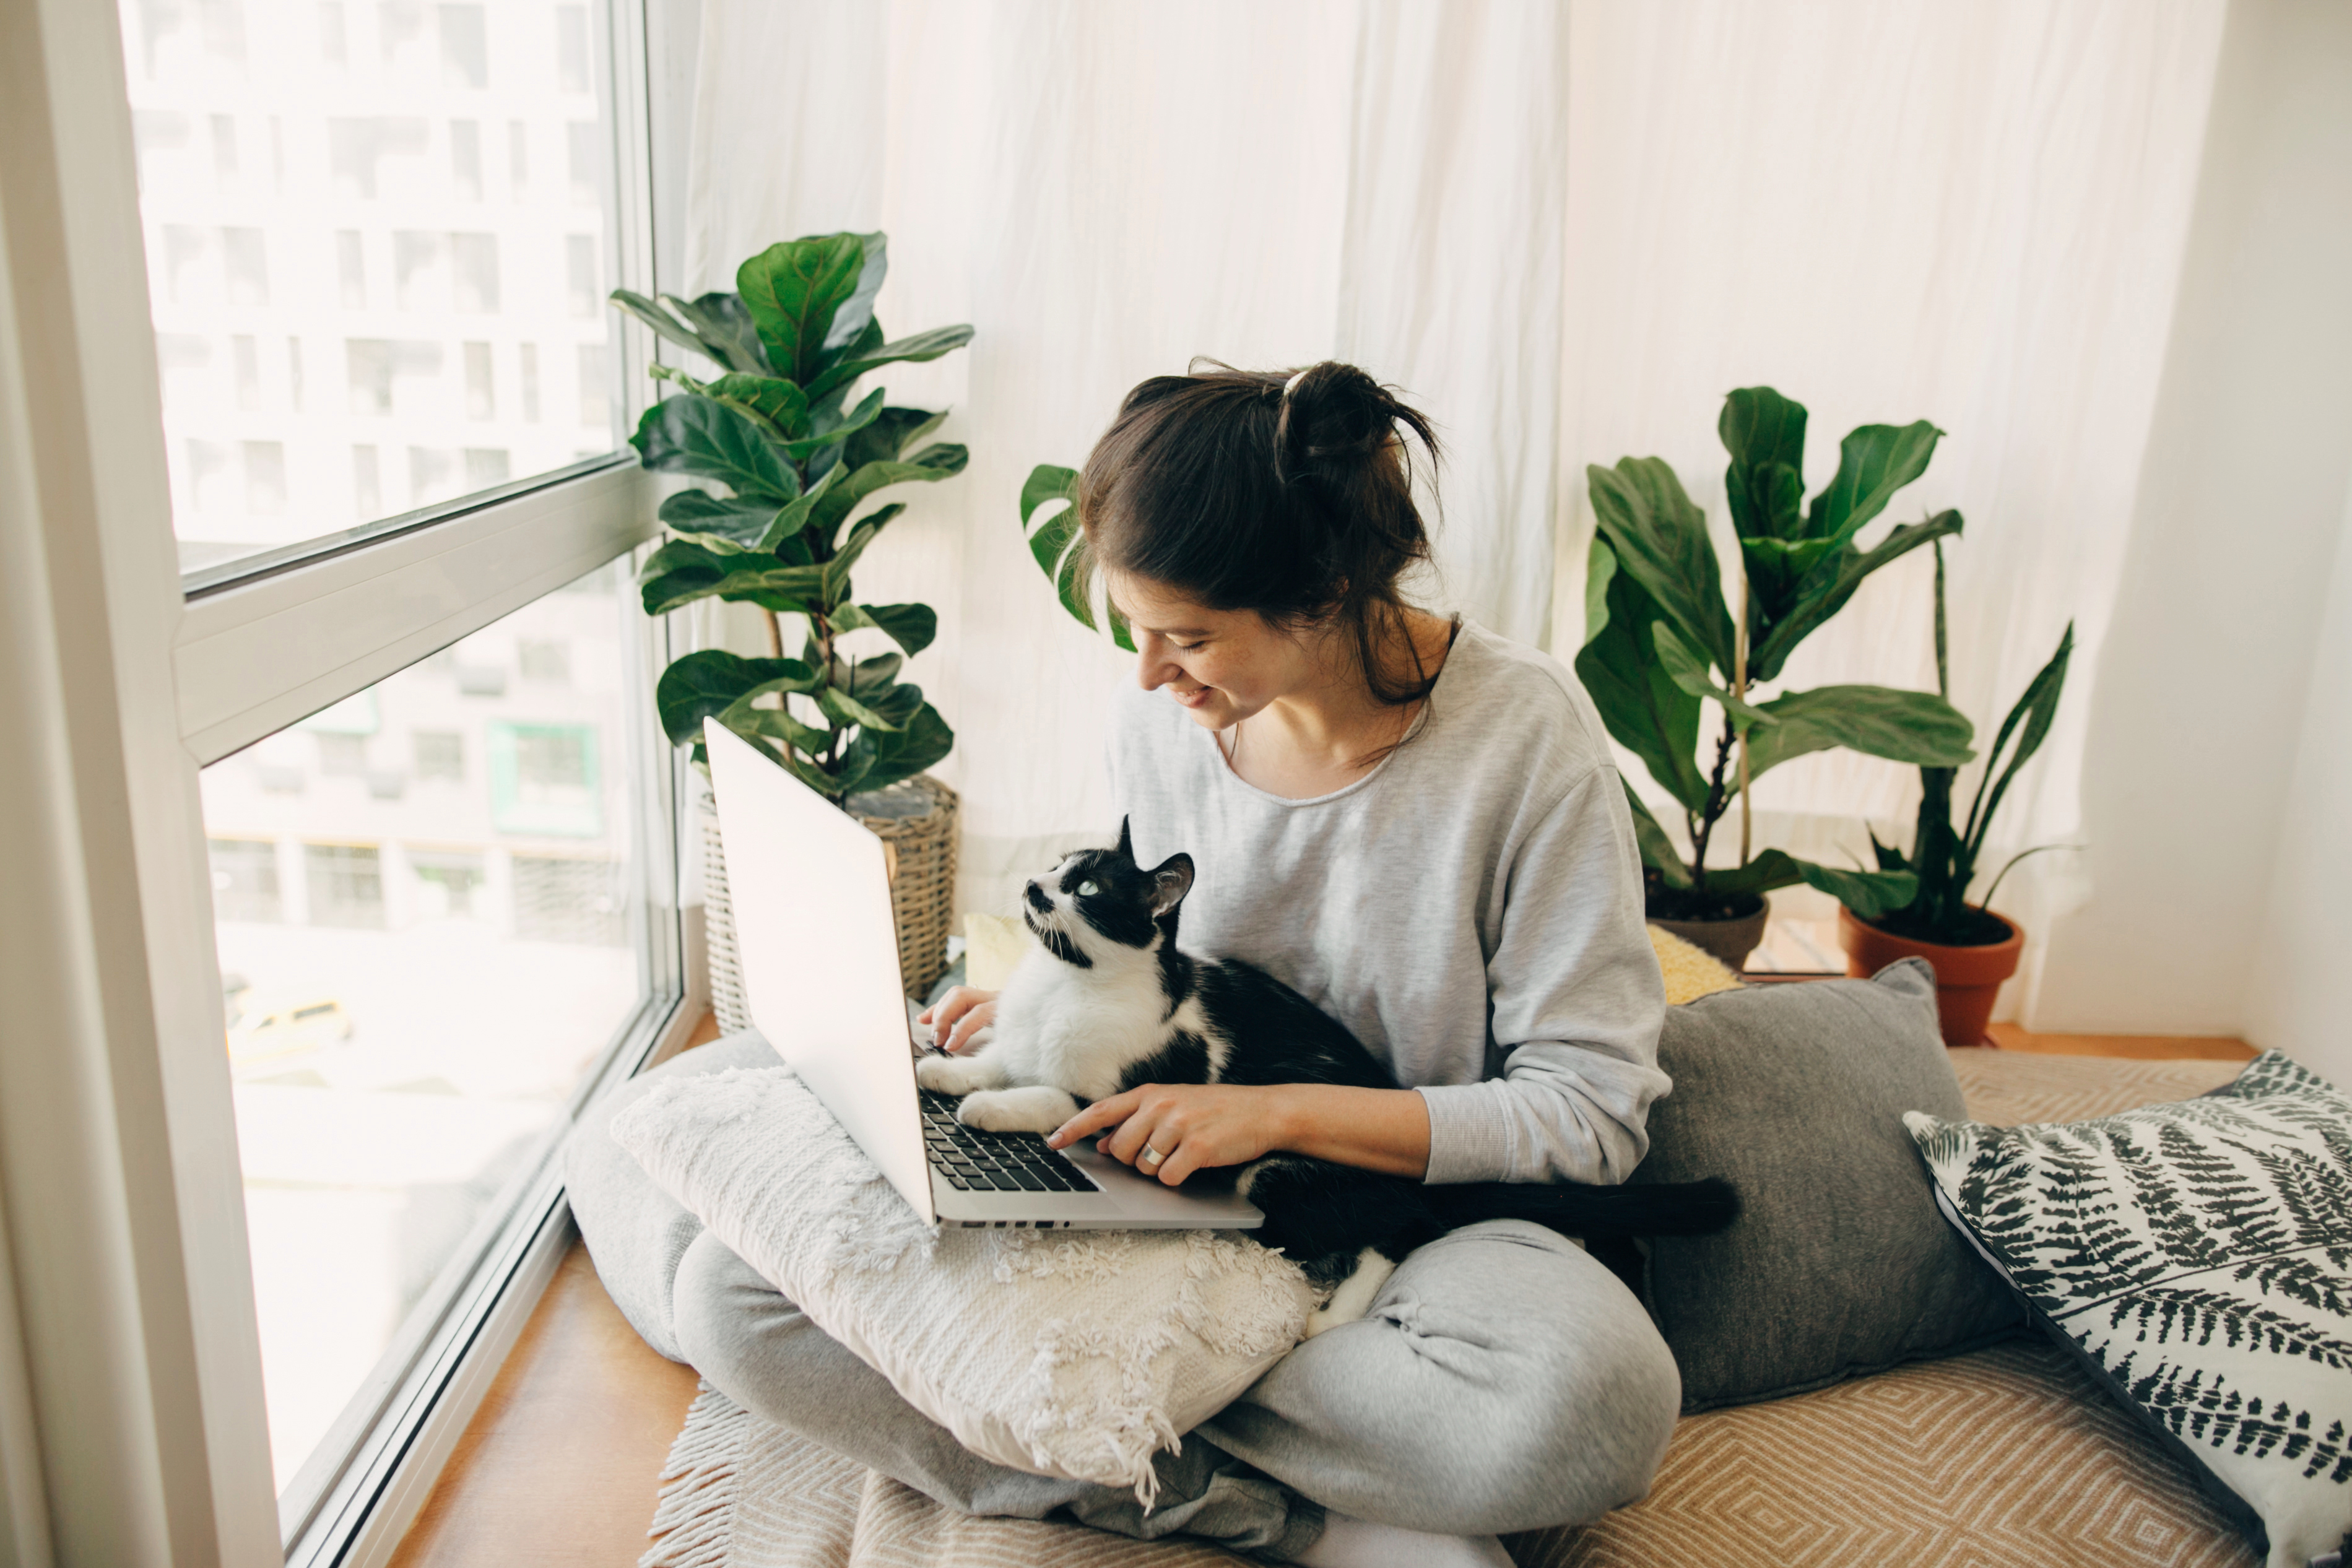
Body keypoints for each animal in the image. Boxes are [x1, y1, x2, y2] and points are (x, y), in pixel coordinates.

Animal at [908, 823, 1740, 1335]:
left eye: (1085, 890)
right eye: (1054, 864)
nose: (1031, 884)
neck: (1063, 982)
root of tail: (1422, 1181)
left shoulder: (1128, 1092)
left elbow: (1052, 1095)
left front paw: (985, 1109)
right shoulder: (1022, 1033)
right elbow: (999, 1054)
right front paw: (941, 1063)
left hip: (1276, 1175)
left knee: (1396, 1235)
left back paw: (1335, 1316)